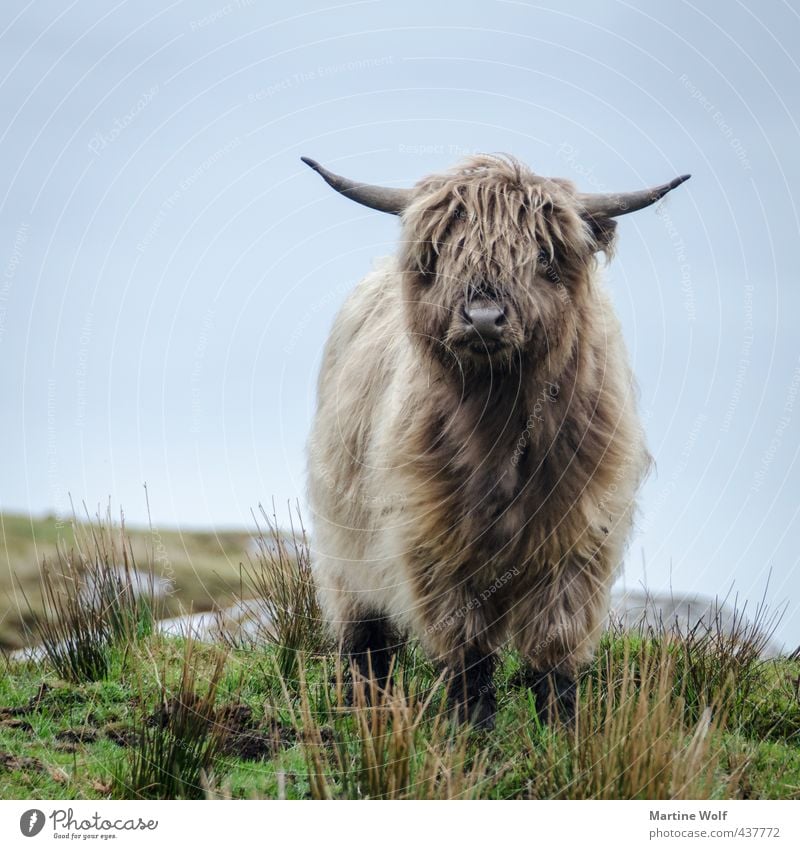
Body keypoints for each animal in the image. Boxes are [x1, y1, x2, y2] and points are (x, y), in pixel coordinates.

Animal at [304, 151, 692, 724]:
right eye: (443, 251)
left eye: (544, 255)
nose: (484, 319)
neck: (500, 427)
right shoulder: (435, 541)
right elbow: (468, 648)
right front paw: (471, 728)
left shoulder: (576, 540)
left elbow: (555, 646)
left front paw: (561, 727)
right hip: (344, 549)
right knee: (366, 639)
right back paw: (364, 708)